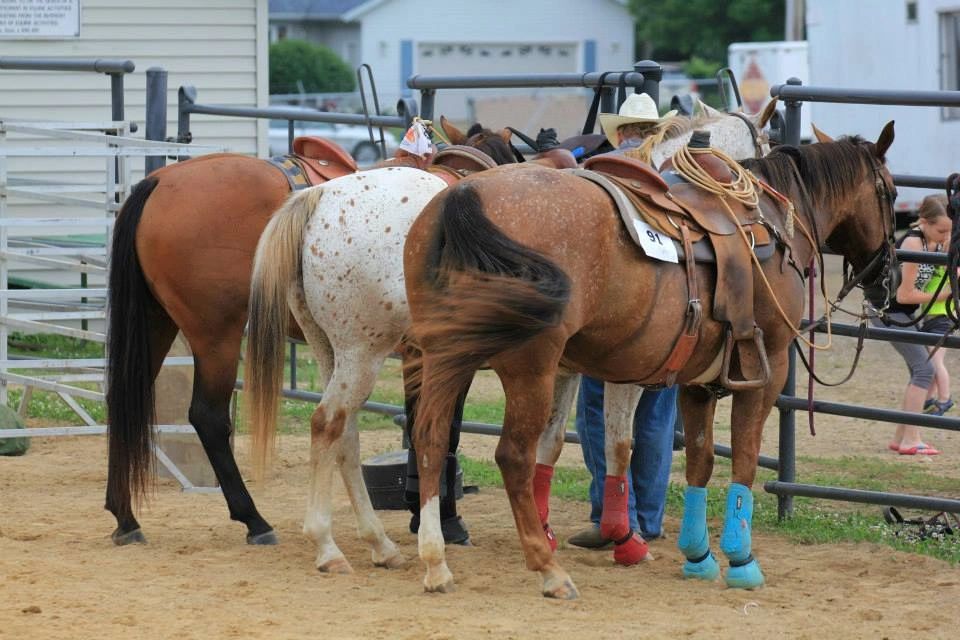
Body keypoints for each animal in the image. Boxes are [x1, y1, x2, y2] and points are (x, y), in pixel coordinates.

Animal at [105, 119, 516, 544]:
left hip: (158, 322)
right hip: (216, 334)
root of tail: (159, 183)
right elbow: (444, 428)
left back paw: (126, 517)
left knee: (126, 398)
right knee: (208, 417)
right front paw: (446, 521)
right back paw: (253, 519)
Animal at [402, 122, 896, 596]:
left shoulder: (698, 381)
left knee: (430, 438)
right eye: (890, 193)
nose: (886, 278)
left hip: (443, 356)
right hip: (531, 366)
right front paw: (741, 561)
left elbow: (698, 460)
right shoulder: (766, 368)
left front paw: (698, 557)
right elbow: (745, 458)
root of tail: (465, 196)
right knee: (514, 457)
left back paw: (435, 561)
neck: (773, 226)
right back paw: (548, 570)